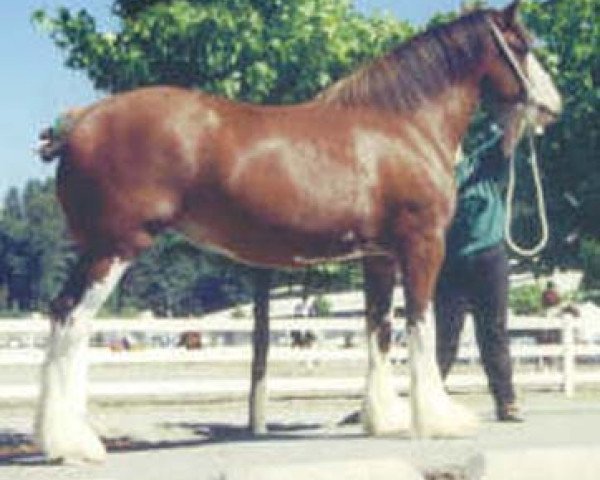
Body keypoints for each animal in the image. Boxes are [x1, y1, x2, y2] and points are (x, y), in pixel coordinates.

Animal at [35, 1, 560, 464]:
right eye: (522, 45)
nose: (553, 106)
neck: (401, 125)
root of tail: (79, 122)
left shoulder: (378, 255)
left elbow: (378, 328)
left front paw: (383, 418)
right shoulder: (422, 244)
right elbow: (420, 323)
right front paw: (437, 419)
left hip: (95, 250)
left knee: (61, 315)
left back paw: (61, 439)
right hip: (115, 248)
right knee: (75, 322)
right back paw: (76, 446)